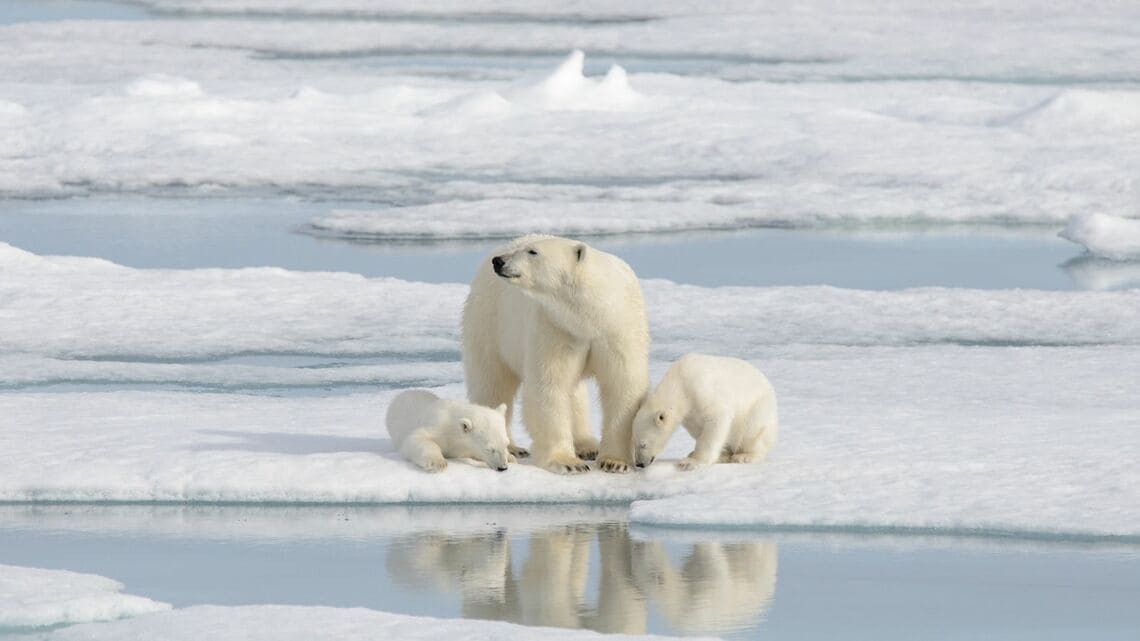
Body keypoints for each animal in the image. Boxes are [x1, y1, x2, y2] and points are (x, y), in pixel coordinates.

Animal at [458, 231, 647, 472]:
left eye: (533, 251)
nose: (499, 261)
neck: (590, 316)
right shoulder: (554, 325)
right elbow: (549, 385)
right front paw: (568, 462)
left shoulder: (618, 328)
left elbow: (622, 386)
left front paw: (614, 461)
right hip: (489, 323)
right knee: (493, 383)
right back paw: (512, 448)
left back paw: (587, 445)